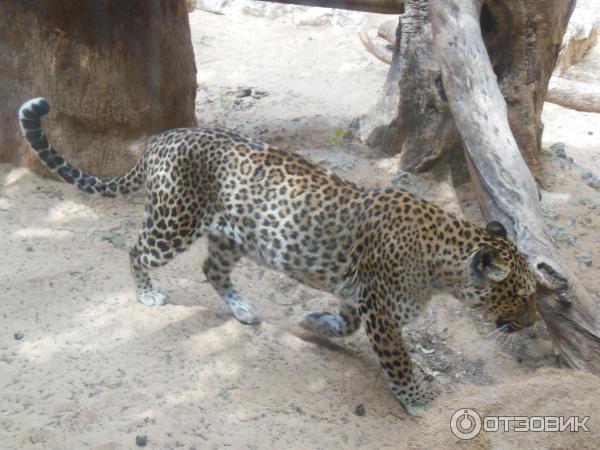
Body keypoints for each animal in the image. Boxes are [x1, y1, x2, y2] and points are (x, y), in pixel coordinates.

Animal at [18, 97, 536, 414]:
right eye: (520, 295)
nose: (531, 325)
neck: (442, 260)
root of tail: (159, 139)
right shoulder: (382, 312)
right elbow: (400, 361)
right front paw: (419, 399)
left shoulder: (359, 298)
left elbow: (343, 324)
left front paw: (311, 324)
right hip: (173, 222)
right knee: (136, 249)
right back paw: (147, 294)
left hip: (231, 235)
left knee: (211, 269)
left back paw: (244, 310)